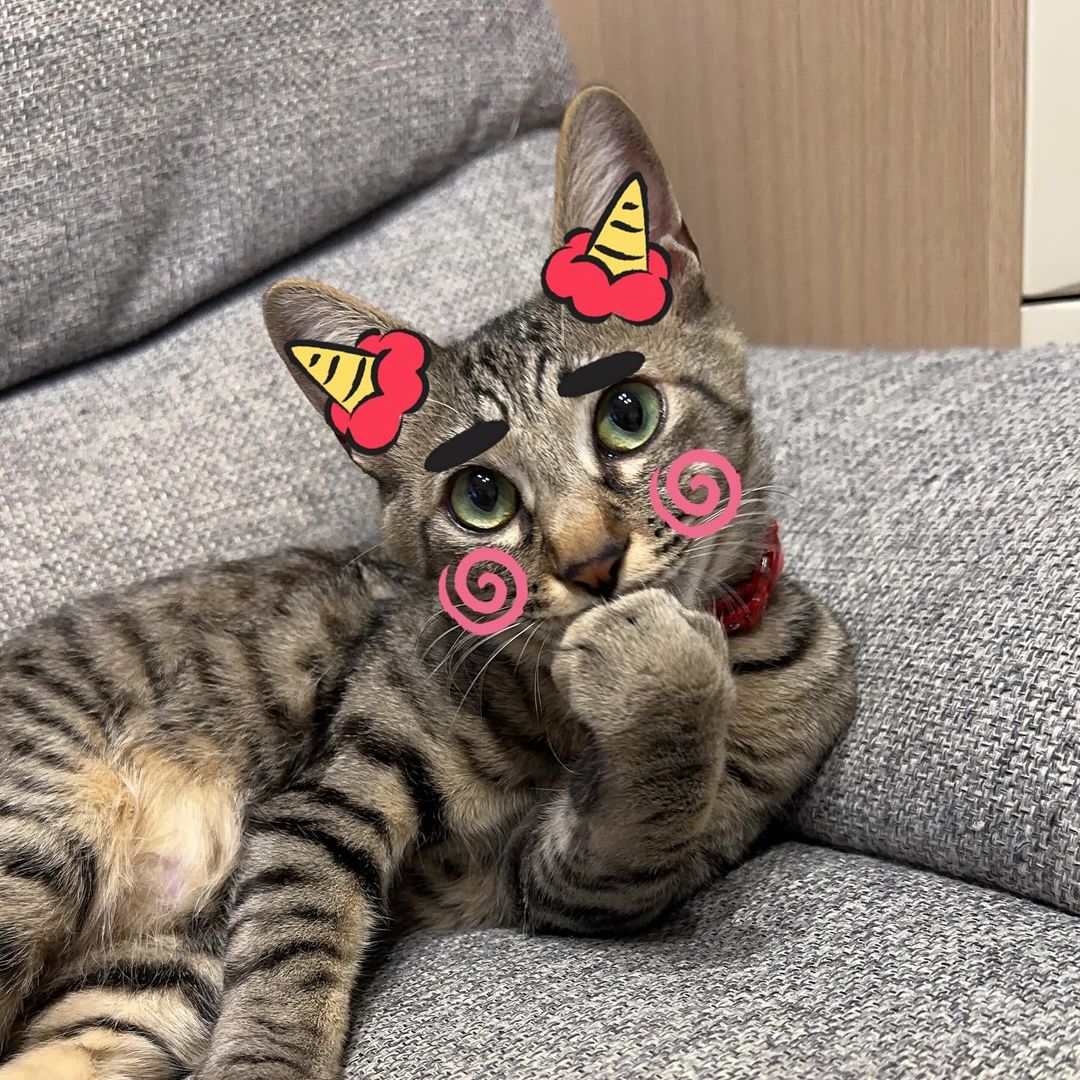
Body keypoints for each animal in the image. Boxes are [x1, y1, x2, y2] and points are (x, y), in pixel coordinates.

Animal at [0, 88, 855, 1080]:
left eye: (628, 413)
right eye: (480, 497)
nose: (593, 564)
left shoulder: (582, 879)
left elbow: (645, 816)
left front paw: (658, 672)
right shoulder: (325, 799)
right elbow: (293, 953)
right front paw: (268, 1059)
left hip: (147, 974)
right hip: (38, 837)